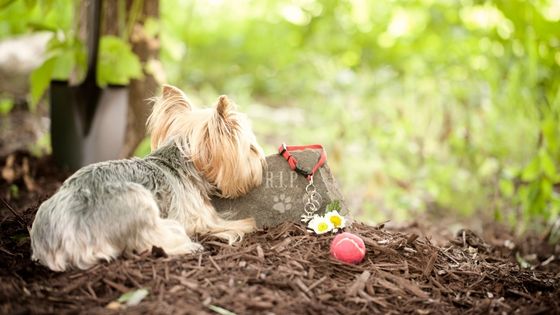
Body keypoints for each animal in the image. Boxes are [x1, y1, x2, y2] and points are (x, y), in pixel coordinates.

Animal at [29, 84, 266, 272]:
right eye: (252, 149)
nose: (261, 163)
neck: (182, 157)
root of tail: (63, 237)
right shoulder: (199, 217)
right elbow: (229, 224)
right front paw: (246, 224)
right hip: (139, 202)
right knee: (152, 240)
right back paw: (188, 246)